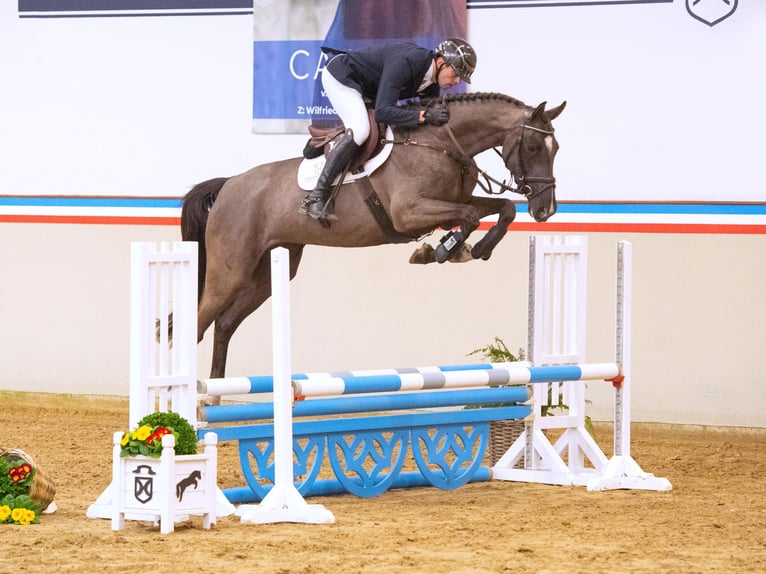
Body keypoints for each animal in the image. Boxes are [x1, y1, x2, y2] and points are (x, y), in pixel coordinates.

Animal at [180, 93, 564, 382]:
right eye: (532, 146)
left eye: (555, 148)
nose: (546, 209)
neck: (441, 142)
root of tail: (229, 185)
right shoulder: (409, 212)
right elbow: (469, 218)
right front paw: (443, 250)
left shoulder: (457, 200)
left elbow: (502, 209)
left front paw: (474, 247)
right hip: (230, 272)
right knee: (198, 323)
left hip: (268, 273)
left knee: (224, 324)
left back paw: (213, 394)